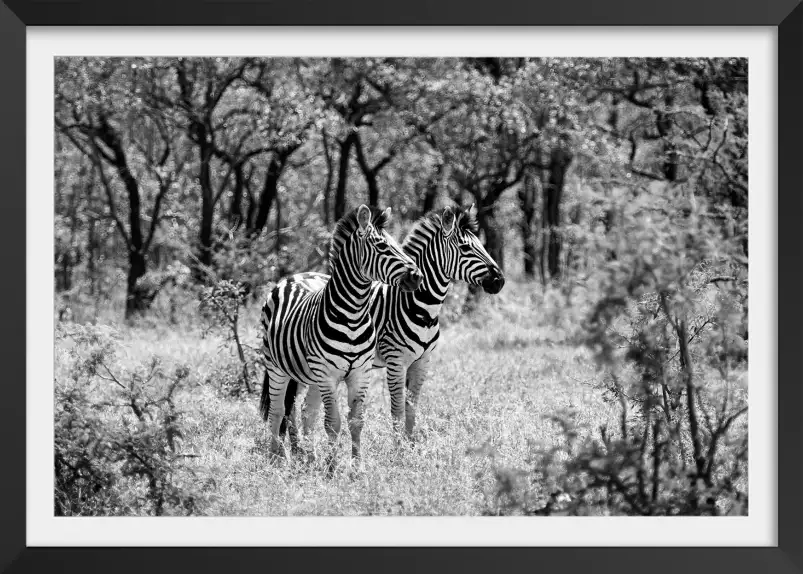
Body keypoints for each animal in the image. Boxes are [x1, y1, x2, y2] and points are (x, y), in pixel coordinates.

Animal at [260, 205, 424, 466]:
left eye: (398, 245)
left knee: (307, 411)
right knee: (277, 412)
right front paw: (332, 466)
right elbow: (332, 424)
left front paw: (356, 466)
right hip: (276, 367)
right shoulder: (328, 375)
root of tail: (292, 277)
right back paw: (277, 458)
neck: (353, 315)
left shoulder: (360, 374)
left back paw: (309, 457)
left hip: (311, 375)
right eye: (382, 247)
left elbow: (355, 421)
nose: (417, 277)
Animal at [282, 205, 506, 444]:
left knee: (306, 407)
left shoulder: (422, 362)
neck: (419, 308)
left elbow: (412, 408)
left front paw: (410, 445)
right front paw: (398, 447)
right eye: (465, 248)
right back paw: (297, 446)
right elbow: (397, 409)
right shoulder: (396, 361)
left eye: (481, 245)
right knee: (291, 406)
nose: (500, 281)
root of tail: (297, 276)